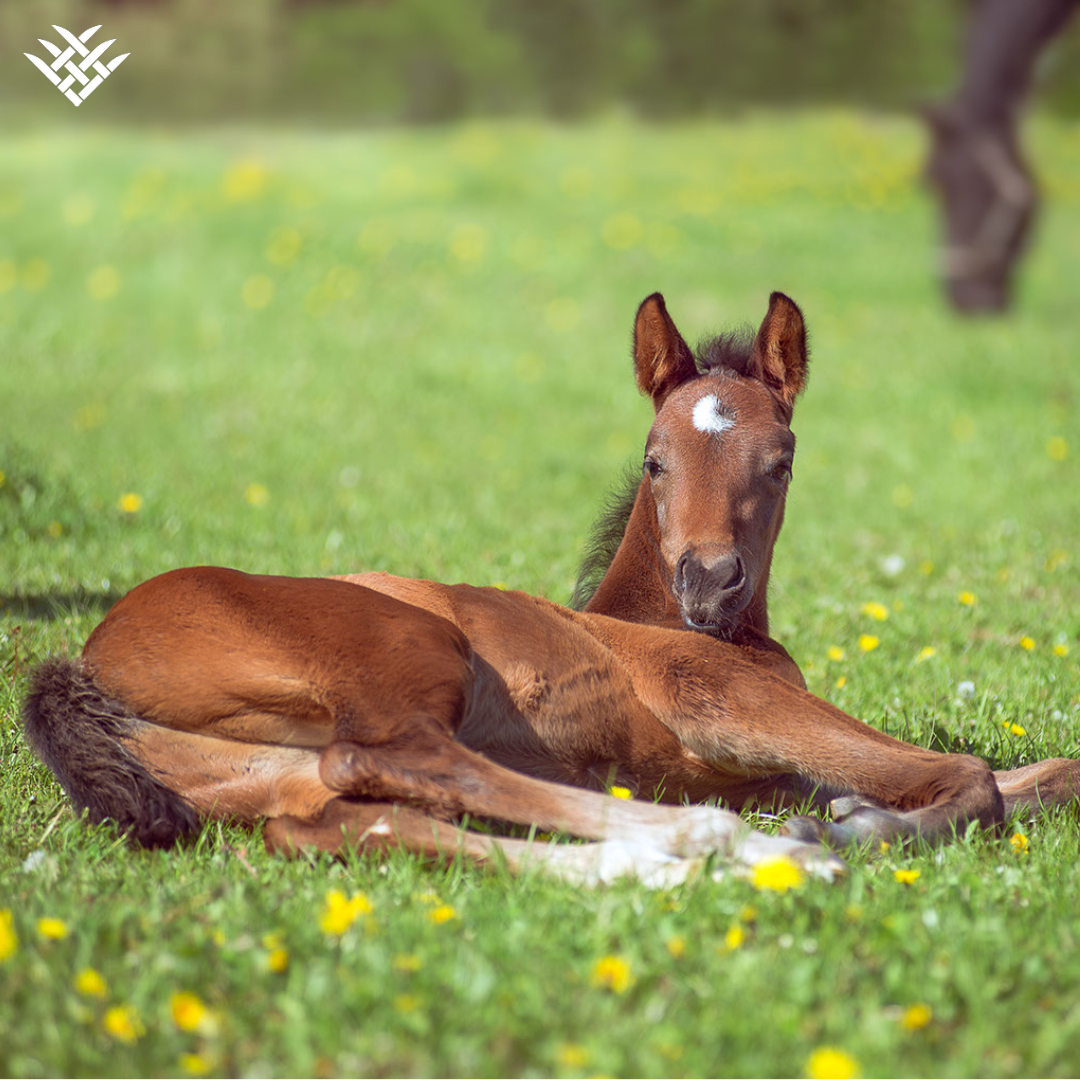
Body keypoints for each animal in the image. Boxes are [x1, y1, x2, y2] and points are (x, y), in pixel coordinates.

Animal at [23, 291, 1079, 885]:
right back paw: (748, 848)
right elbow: (972, 778)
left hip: (259, 778)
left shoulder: (772, 763)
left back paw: (677, 866)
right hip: (413, 652)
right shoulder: (732, 709)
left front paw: (858, 818)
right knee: (402, 760)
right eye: (654, 461)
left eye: (781, 461)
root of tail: (86, 659)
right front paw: (864, 825)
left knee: (346, 823)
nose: (707, 583)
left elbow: (1043, 776)